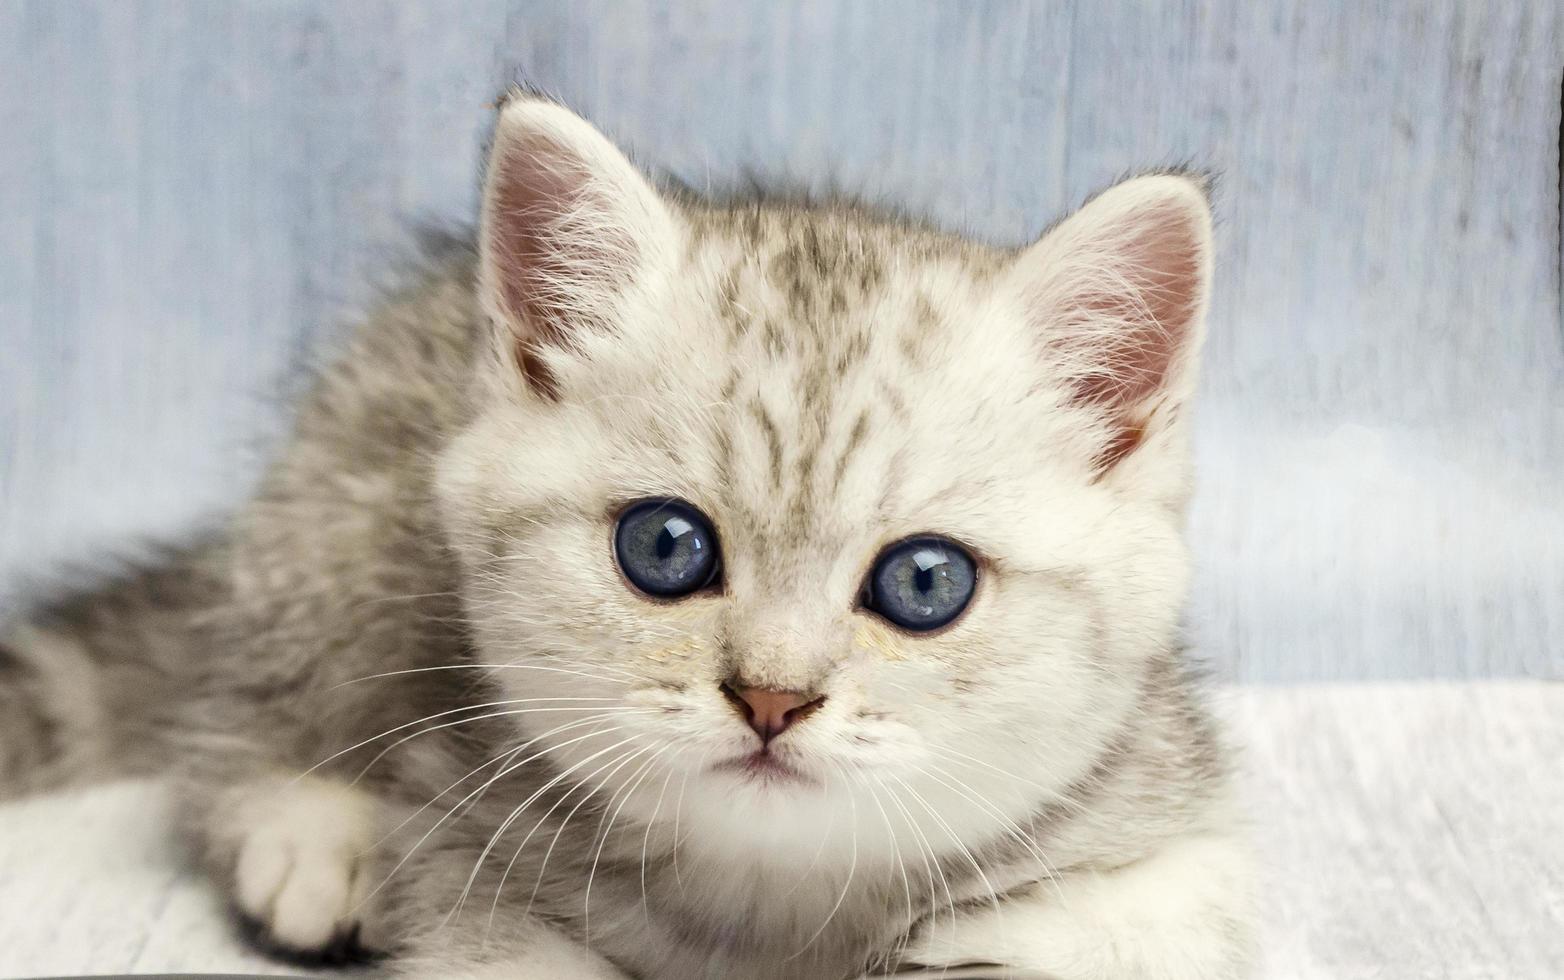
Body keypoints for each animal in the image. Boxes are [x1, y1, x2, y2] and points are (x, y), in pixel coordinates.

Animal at [0, 93, 1244, 980]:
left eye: (925, 581)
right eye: (665, 548)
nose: (772, 696)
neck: (767, 906)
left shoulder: (1177, 840)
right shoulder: (469, 837)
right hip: (327, 531)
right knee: (232, 721)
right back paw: (313, 833)